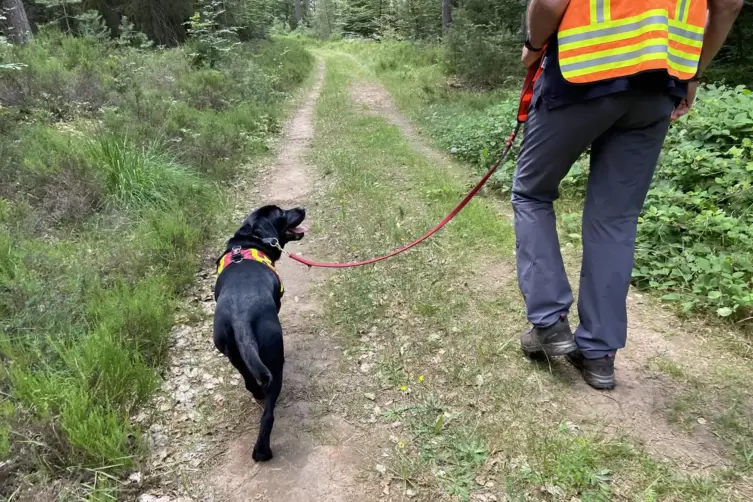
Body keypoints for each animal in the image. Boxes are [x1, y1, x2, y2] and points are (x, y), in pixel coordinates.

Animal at [212, 205, 306, 462]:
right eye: (282, 213)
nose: (302, 208)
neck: (251, 239)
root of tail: (240, 317)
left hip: (235, 355)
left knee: (248, 381)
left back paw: (256, 394)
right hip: (274, 362)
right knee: (268, 414)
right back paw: (262, 452)